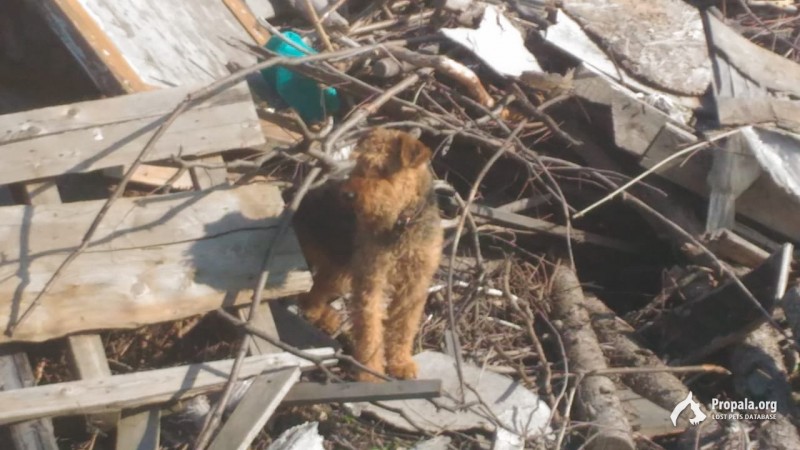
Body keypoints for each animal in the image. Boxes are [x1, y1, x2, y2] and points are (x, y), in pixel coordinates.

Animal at [292, 128, 444, 382]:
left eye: (382, 168)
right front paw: (371, 373)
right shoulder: (371, 281)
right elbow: (370, 330)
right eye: (359, 163)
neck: (403, 225)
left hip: (340, 271)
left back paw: (327, 318)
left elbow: (403, 327)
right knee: (306, 295)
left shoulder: (415, 284)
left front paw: (401, 363)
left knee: (315, 293)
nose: (347, 194)